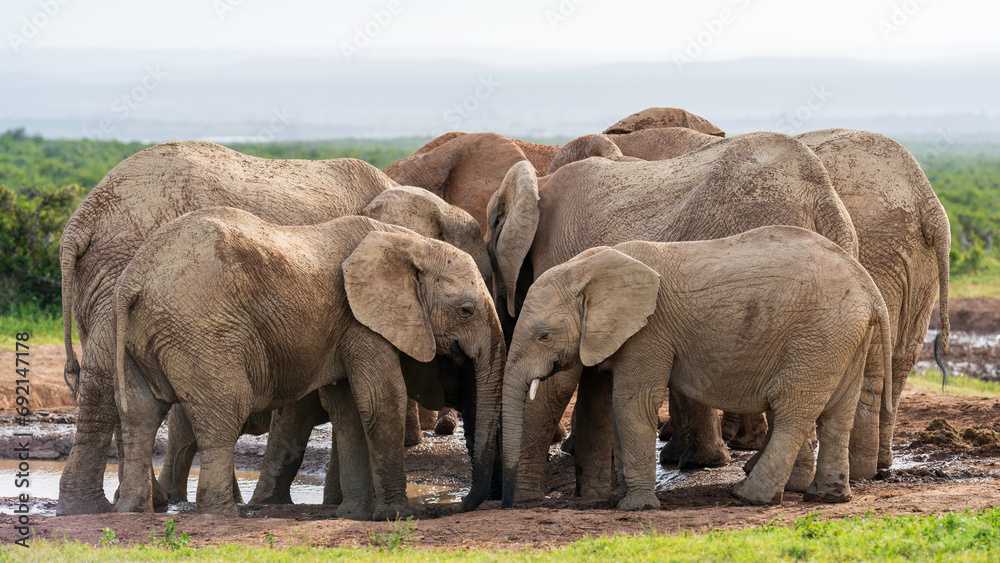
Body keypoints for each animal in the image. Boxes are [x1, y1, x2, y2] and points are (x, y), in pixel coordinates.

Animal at [58, 140, 399, 515]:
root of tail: (81, 219)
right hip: (128, 266)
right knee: (110, 378)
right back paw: (94, 507)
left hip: (105, 278)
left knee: (115, 379)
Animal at [113, 211, 505, 519]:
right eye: (466, 310)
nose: (458, 506)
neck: (412, 244)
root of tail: (133, 281)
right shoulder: (362, 320)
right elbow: (381, 400)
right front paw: (399, 515)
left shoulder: (344, 326)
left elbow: (349, 409)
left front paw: (354, 515)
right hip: (202, 331)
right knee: (224, 412)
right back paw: (222, 513)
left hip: (141, 334)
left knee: (140, 414)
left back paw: (132, 510)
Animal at [486, 132, 858, 501]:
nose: (501, 496)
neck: (539, 183)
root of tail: (821, 199)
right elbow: (596, 381)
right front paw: (598, 496)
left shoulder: (559, 258)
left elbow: (559, 382)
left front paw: (524, 499)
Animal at [501, 226, 892, 510]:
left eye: (543, 335)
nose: (507, 504)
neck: (590, 267)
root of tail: (870, 289)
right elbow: (619, 403)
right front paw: (619, 499)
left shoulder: (649, 332)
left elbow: (632, 402)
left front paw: (636, 507)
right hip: (843, 338)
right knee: (837, 414)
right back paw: (826, 497)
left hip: (819, 336)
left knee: (793, 410)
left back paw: (749, 497)